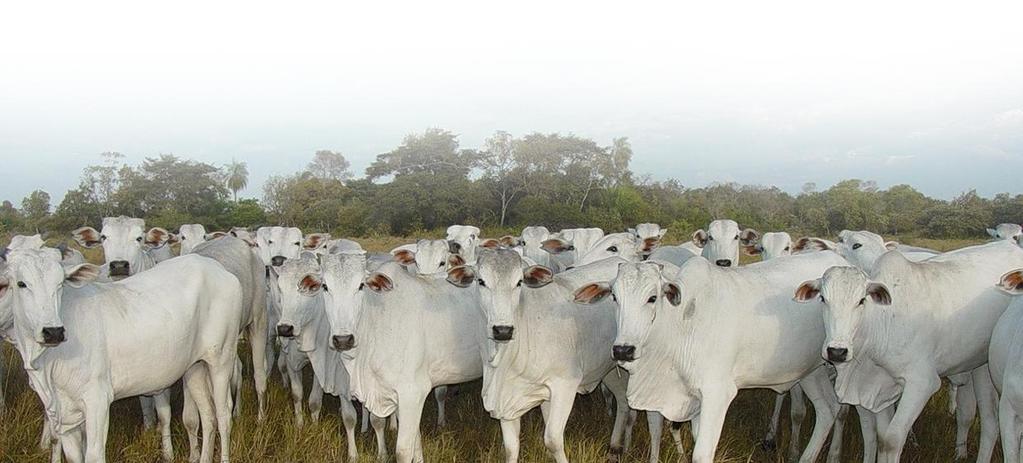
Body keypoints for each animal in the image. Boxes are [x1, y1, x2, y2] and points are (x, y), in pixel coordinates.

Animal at [0, 249, 241, 461]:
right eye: (21, 284)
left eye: (60, 284)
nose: (53, 332)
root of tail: (217, 269)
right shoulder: (64, 416)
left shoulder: (97, 401)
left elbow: (94, 455)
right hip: (195, 367)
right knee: (208, 416)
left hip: (222, 359)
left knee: (223, 415)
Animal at [319, 256, 482, 461]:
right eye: (325, 286)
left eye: (361, 285)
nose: (342, 339)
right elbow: (415, 442)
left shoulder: (413, 391)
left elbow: (404, 450)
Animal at [589, 252, 851, 461]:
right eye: (614, 297)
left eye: (652, 297)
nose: (623, 350)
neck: (680, 325)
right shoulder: (693, 398)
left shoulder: (717, 394)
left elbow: (702, 453)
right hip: (811, 370)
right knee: (828, 408)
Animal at [793, 240, 1023, 459]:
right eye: (823, 299)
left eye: (861, 300)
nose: (837, 351)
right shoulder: (881, 386)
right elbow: (881, 436)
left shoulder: (922, 383)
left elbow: (892, 439)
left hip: (985, 370)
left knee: (990, 423)